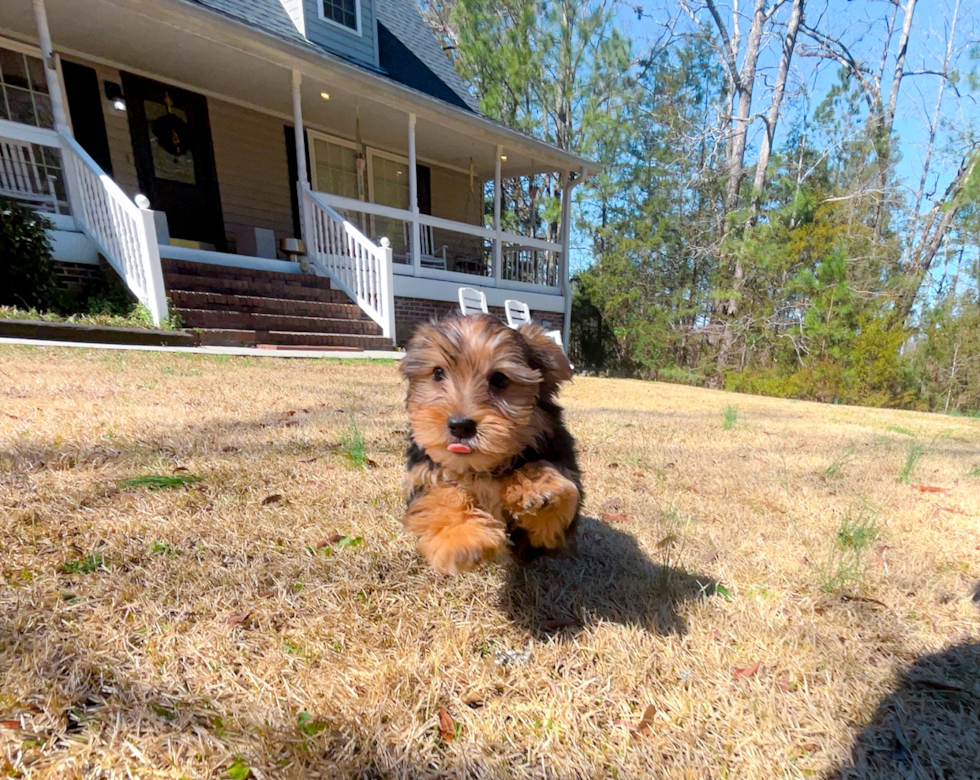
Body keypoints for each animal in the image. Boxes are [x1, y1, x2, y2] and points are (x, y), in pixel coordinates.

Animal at [398, 314, 580, 576]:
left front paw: (537, 490)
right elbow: (440, 493)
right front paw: (462, 537)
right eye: (437, 373)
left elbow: (556, 500)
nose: (460, 426)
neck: (481, 468)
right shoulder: (423, 472)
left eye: (499, 379)